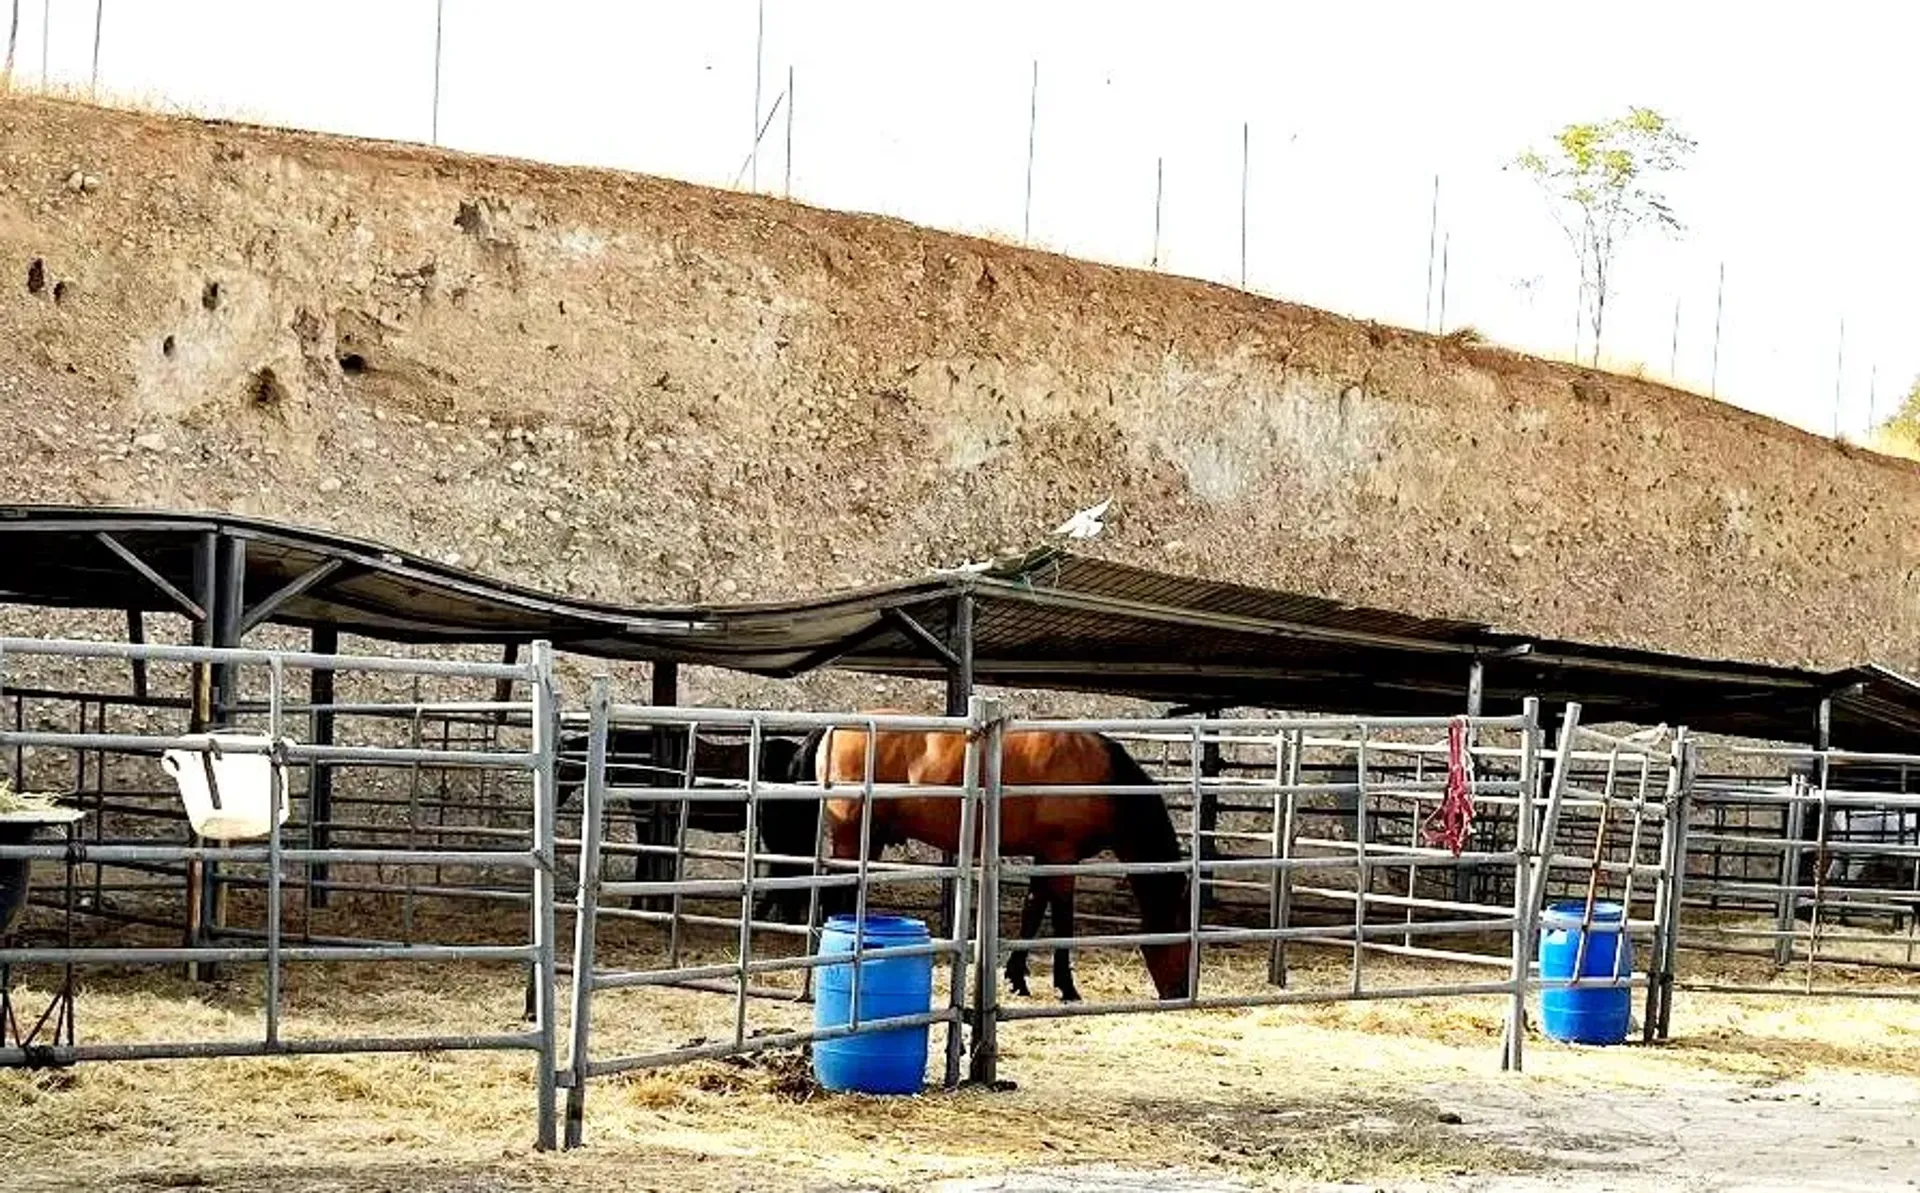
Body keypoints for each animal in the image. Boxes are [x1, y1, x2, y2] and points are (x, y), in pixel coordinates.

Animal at [791, 710, 1182, 998]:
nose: (1177, 992)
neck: (1103, 777)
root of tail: (832, 729)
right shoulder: (1061, 856)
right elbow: (1061, 920)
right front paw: (1067, 988)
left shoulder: (1044, 856)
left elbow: (1031, 914)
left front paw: (1017, 978)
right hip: (851, 838)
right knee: (837, 897)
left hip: (867, 840)